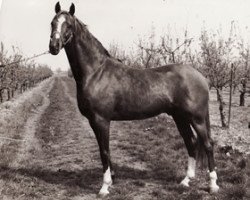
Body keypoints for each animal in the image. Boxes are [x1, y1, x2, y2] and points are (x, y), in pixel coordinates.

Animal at [48, 1, 219, 197]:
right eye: (52, 23)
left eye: (68, 25)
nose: (53, 46)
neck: (96, 72)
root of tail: (201, 77)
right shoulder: (93, 121)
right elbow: (104, 150)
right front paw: (112, 179)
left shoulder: (101, 120)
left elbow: (104, 151)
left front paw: (105, 187)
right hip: (180, 117)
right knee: (191, 143)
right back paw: (186, 181)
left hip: (197, 118)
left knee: (207, 144)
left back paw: (213, 185)